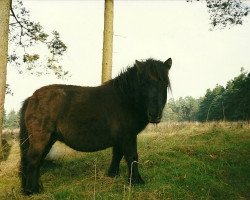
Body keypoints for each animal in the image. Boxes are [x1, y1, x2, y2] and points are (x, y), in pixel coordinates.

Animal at [19, 57, 172, 194]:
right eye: (144, 84)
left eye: (164, 84)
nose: (155, 114)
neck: (125, 99)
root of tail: (32, 98)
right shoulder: (128, 136)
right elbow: (132, 157)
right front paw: (136, 181)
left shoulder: (120, 138)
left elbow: (117, 155)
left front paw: (113, 175)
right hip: (41, 138)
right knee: (33, 159)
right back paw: (32, 190)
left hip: (50, 139)